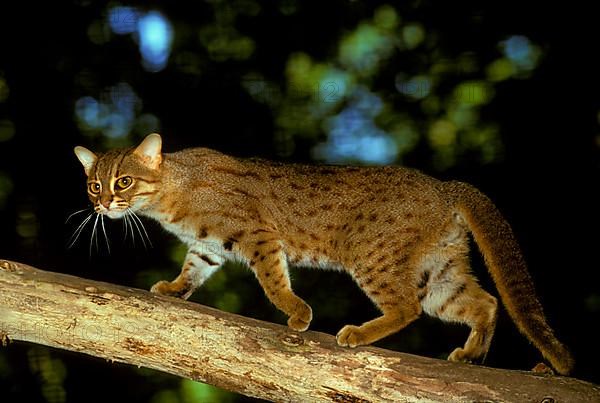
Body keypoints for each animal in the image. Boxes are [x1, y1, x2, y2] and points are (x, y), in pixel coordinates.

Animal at [72, 133, 576, 376]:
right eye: (93, 184)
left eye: (123, 182)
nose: (102, 204)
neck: (171, 191)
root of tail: (444, 185)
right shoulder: (207, 247)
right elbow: (193, 271)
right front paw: (175, 289)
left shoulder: (258, 235)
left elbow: (274, 282)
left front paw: (297, 313)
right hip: (440, 271)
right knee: (484, 302)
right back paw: (471, 353)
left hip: (373, 258)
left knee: (407, 307)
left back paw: (357, 333)